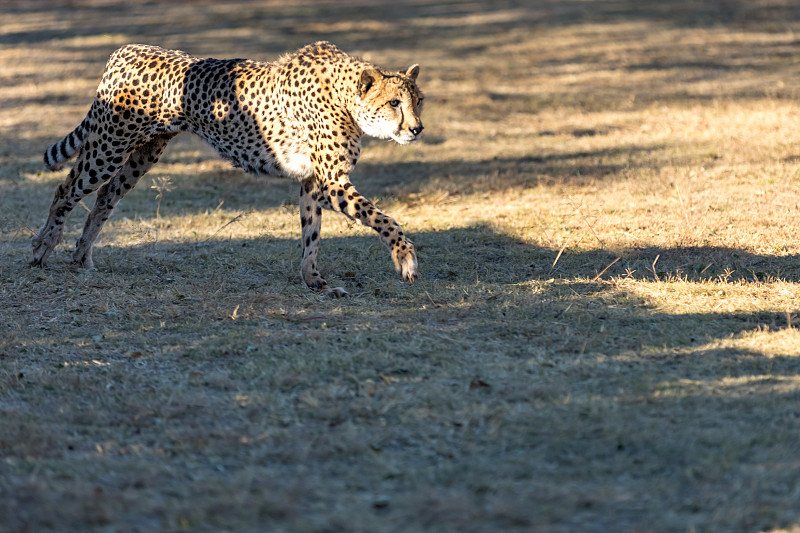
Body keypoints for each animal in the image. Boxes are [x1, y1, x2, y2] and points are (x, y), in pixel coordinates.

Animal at [32, 41, 424, 298]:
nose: (418, 128)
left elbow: (311, 234)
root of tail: (126, 49)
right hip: (109, 146)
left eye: (418, 101)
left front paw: (313, 281)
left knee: (104, 197)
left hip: (144, 153)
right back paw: (41, 249)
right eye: (394, 103)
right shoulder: (331, 182)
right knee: (66, 189)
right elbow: (384, 218)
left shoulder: (313, 182)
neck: (345, 97)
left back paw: (82, 255)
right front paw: (405, 258)